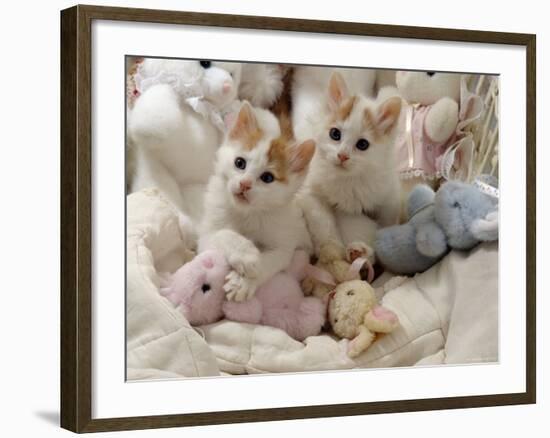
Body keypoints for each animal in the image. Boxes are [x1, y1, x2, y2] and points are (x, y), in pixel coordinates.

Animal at [198, 102, 314, 302]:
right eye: (239, 163)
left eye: (267, 177)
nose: (244, 184)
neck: (248, 212)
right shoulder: (205, 235)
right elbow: (223, 234)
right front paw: (246, 255)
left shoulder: (284, 242)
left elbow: (272, 260)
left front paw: (244, 282)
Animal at [300, 72, 404, 260]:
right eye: (335, 134)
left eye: (362, 144)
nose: (342, 156)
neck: (348, 179)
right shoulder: (310, 192)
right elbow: (324, 225)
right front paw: (332, 250)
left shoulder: (389, 195)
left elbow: (386, 224)